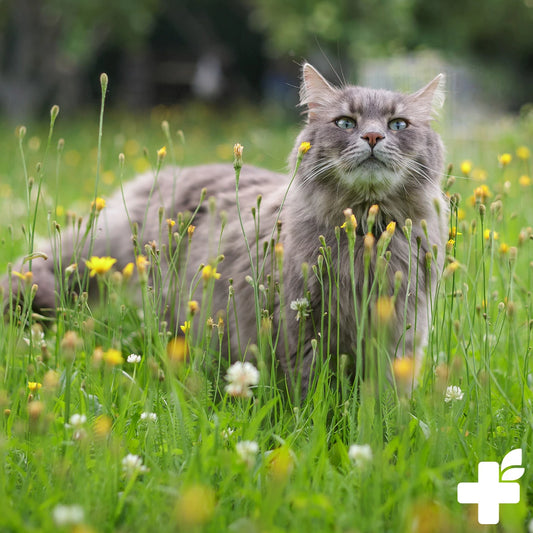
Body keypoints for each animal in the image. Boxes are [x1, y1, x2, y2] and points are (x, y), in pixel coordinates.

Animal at [2, 65, 446, 390]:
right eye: (345, 123)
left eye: (398, 125)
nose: (372, 136)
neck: (366, 234)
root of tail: (167, 176)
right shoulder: (302, 325)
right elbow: (310, 395)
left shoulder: (400, 333)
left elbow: (384, 402)